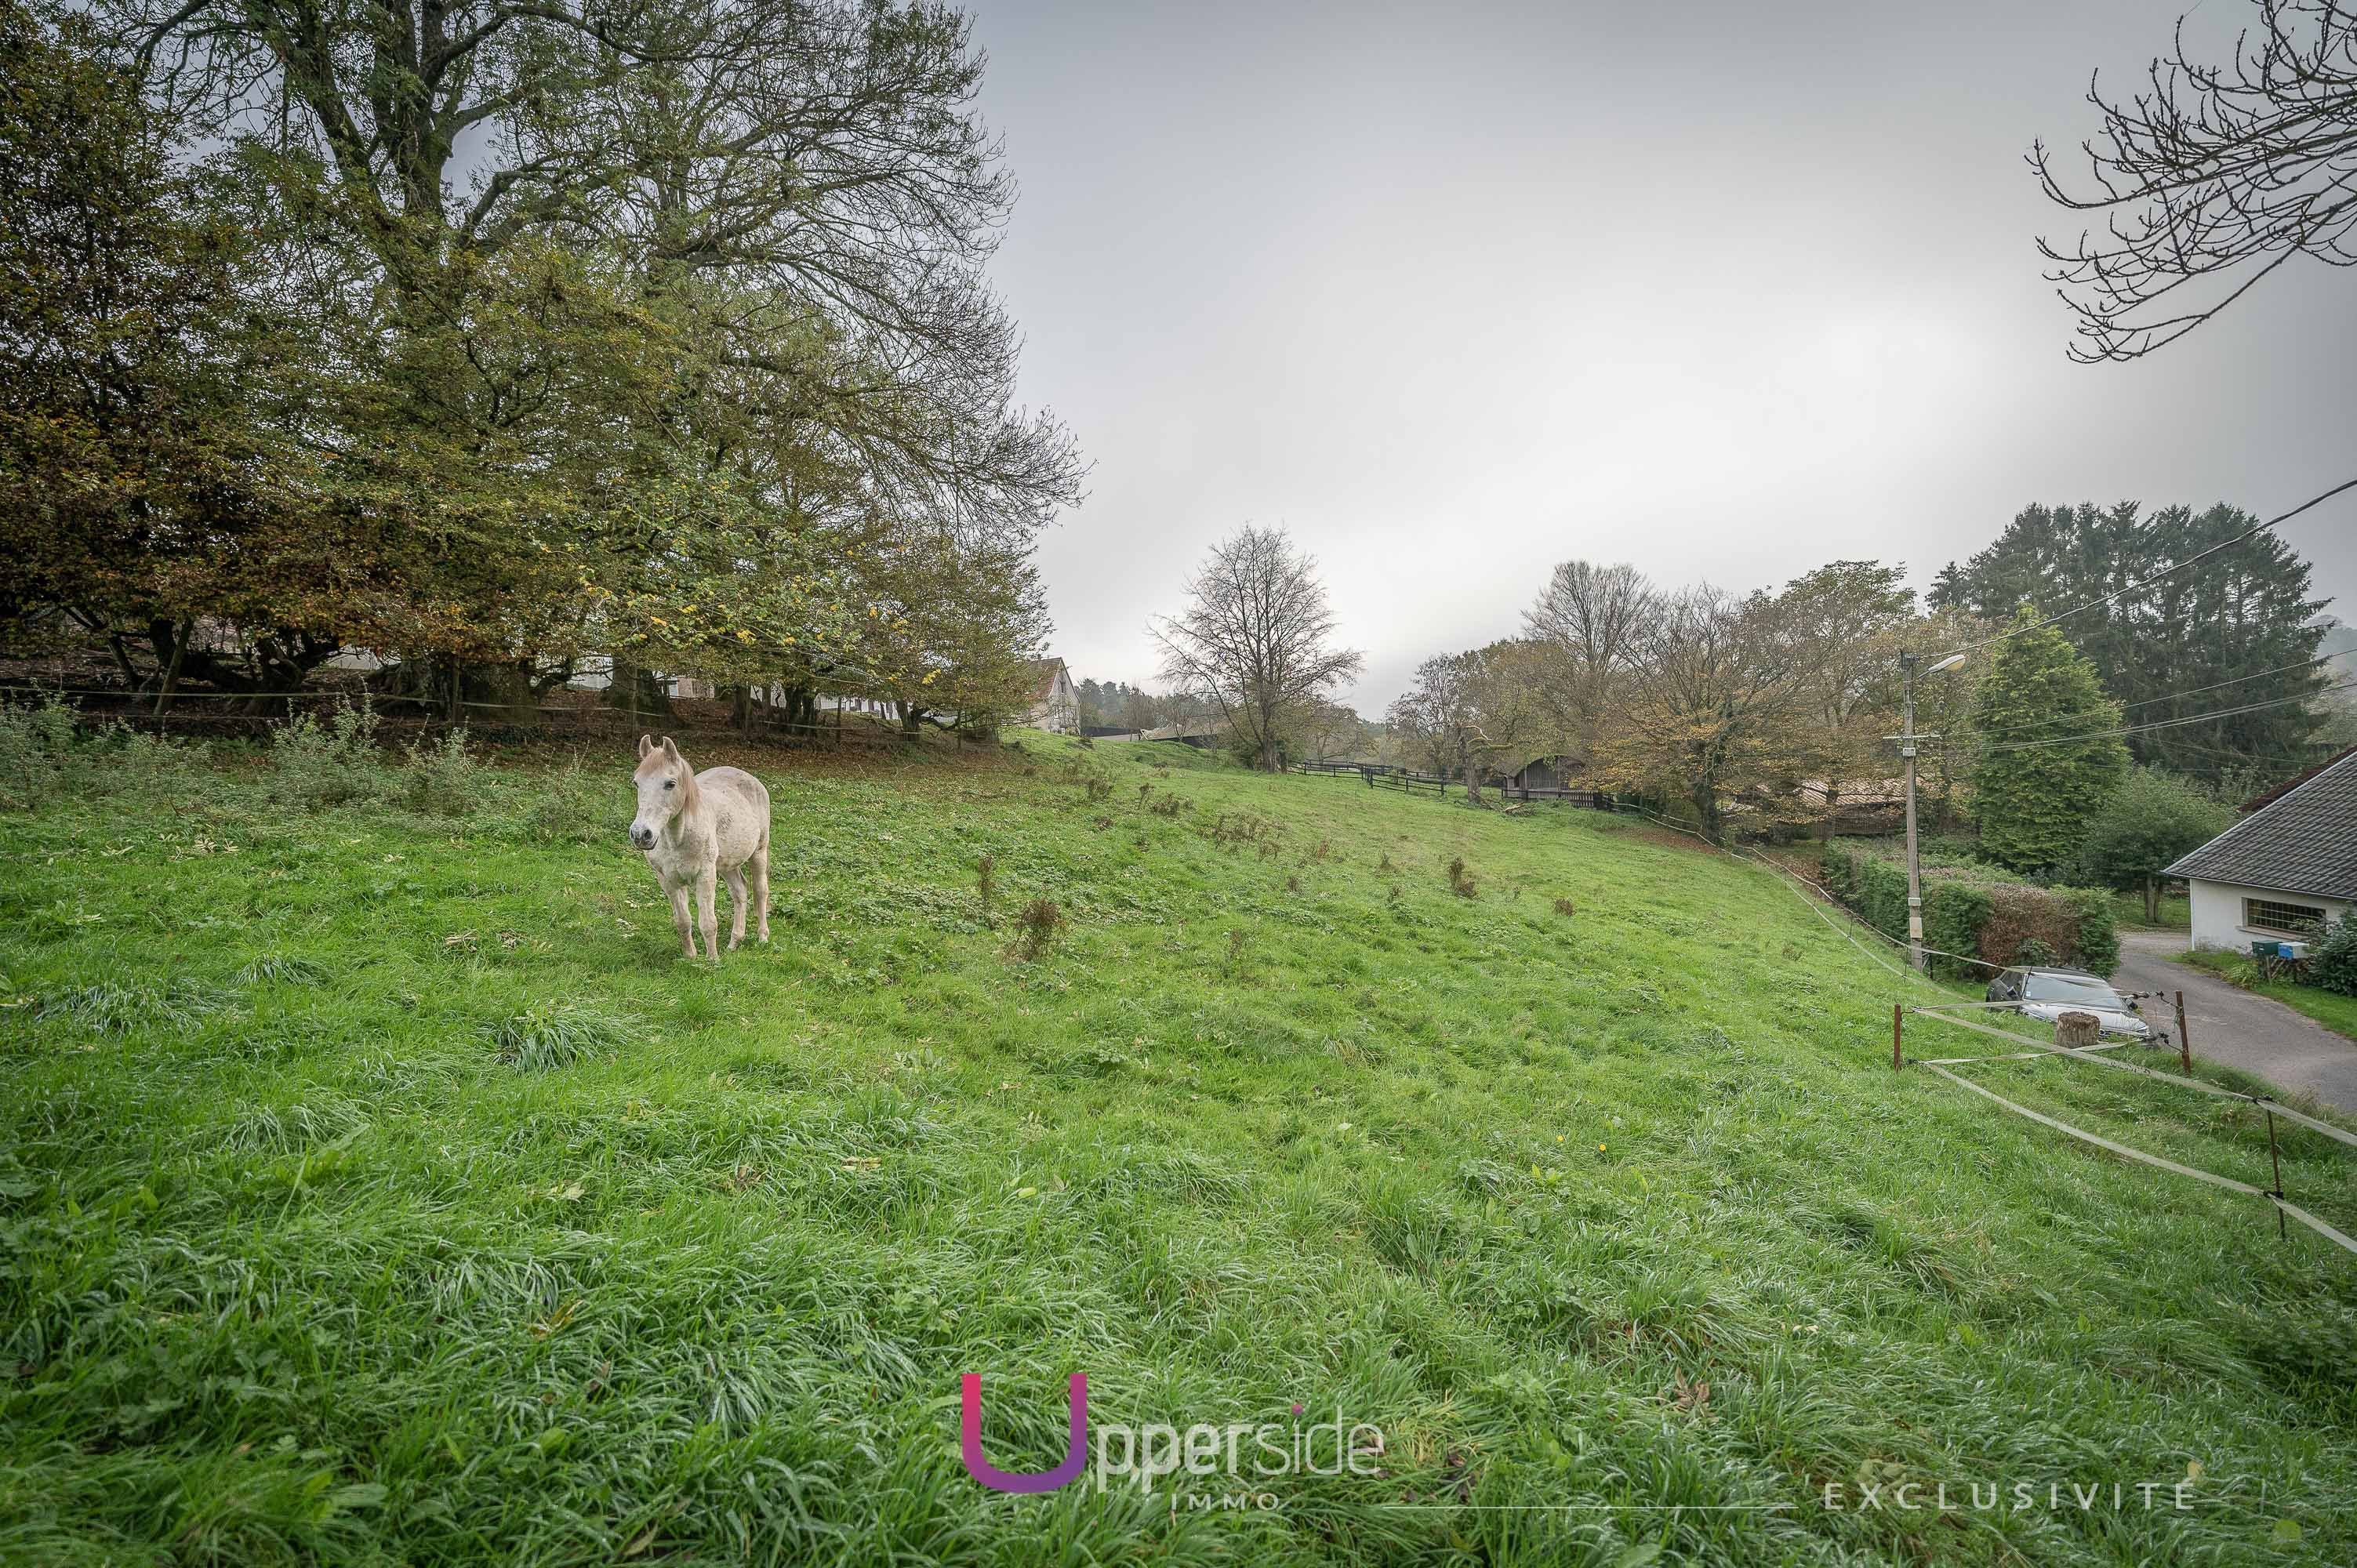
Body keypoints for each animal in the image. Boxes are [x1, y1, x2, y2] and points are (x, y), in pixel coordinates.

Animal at [626, 731, 772, 953]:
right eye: (637, 783)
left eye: (670, 784)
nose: (641, 834)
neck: (677, 840)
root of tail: (752, 780)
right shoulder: (668, 879)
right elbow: (683, 921)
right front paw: (691, 956)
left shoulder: (705, 875)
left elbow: (708, 924)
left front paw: (712, 959)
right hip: (727, 864)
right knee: (740, 891)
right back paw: (734, 943)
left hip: (759, 852)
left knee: (760, 890)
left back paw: (762, 936)